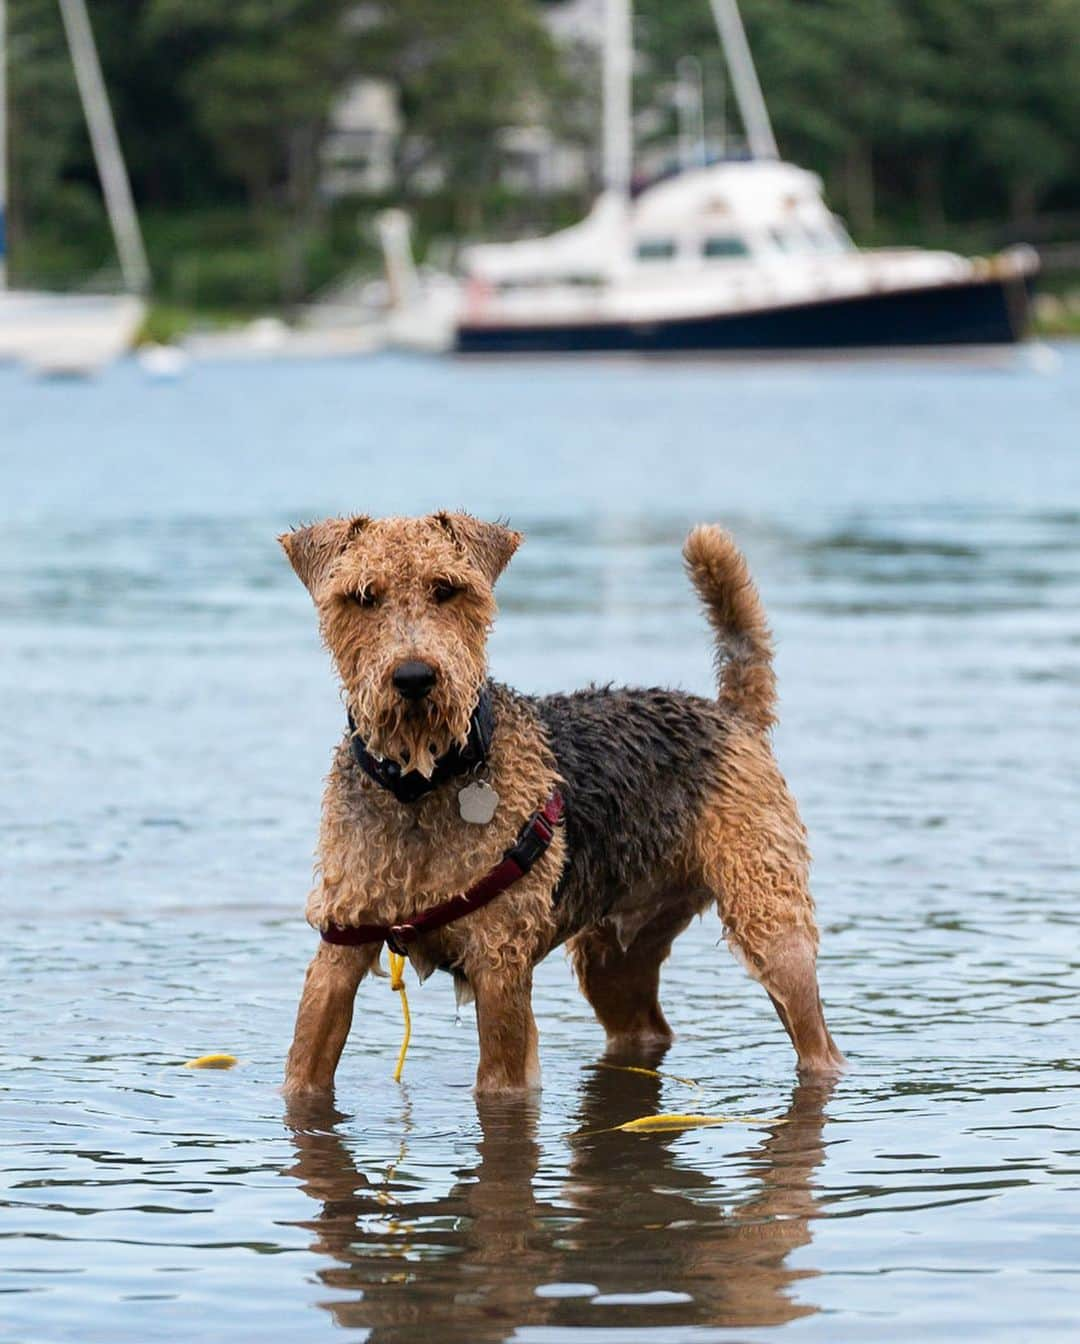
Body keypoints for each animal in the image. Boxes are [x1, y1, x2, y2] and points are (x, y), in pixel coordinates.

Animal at [278, 508, 843, 1096]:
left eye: (447, 589)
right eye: (362, 596)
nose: (414, 678)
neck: (420, 785)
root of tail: (730, 713)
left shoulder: (499, 964)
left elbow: (501, 1081)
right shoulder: (339, 948)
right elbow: (303, 1068)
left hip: (771, 926)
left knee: (818, 1042)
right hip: (613, 957)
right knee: (648, 1027)